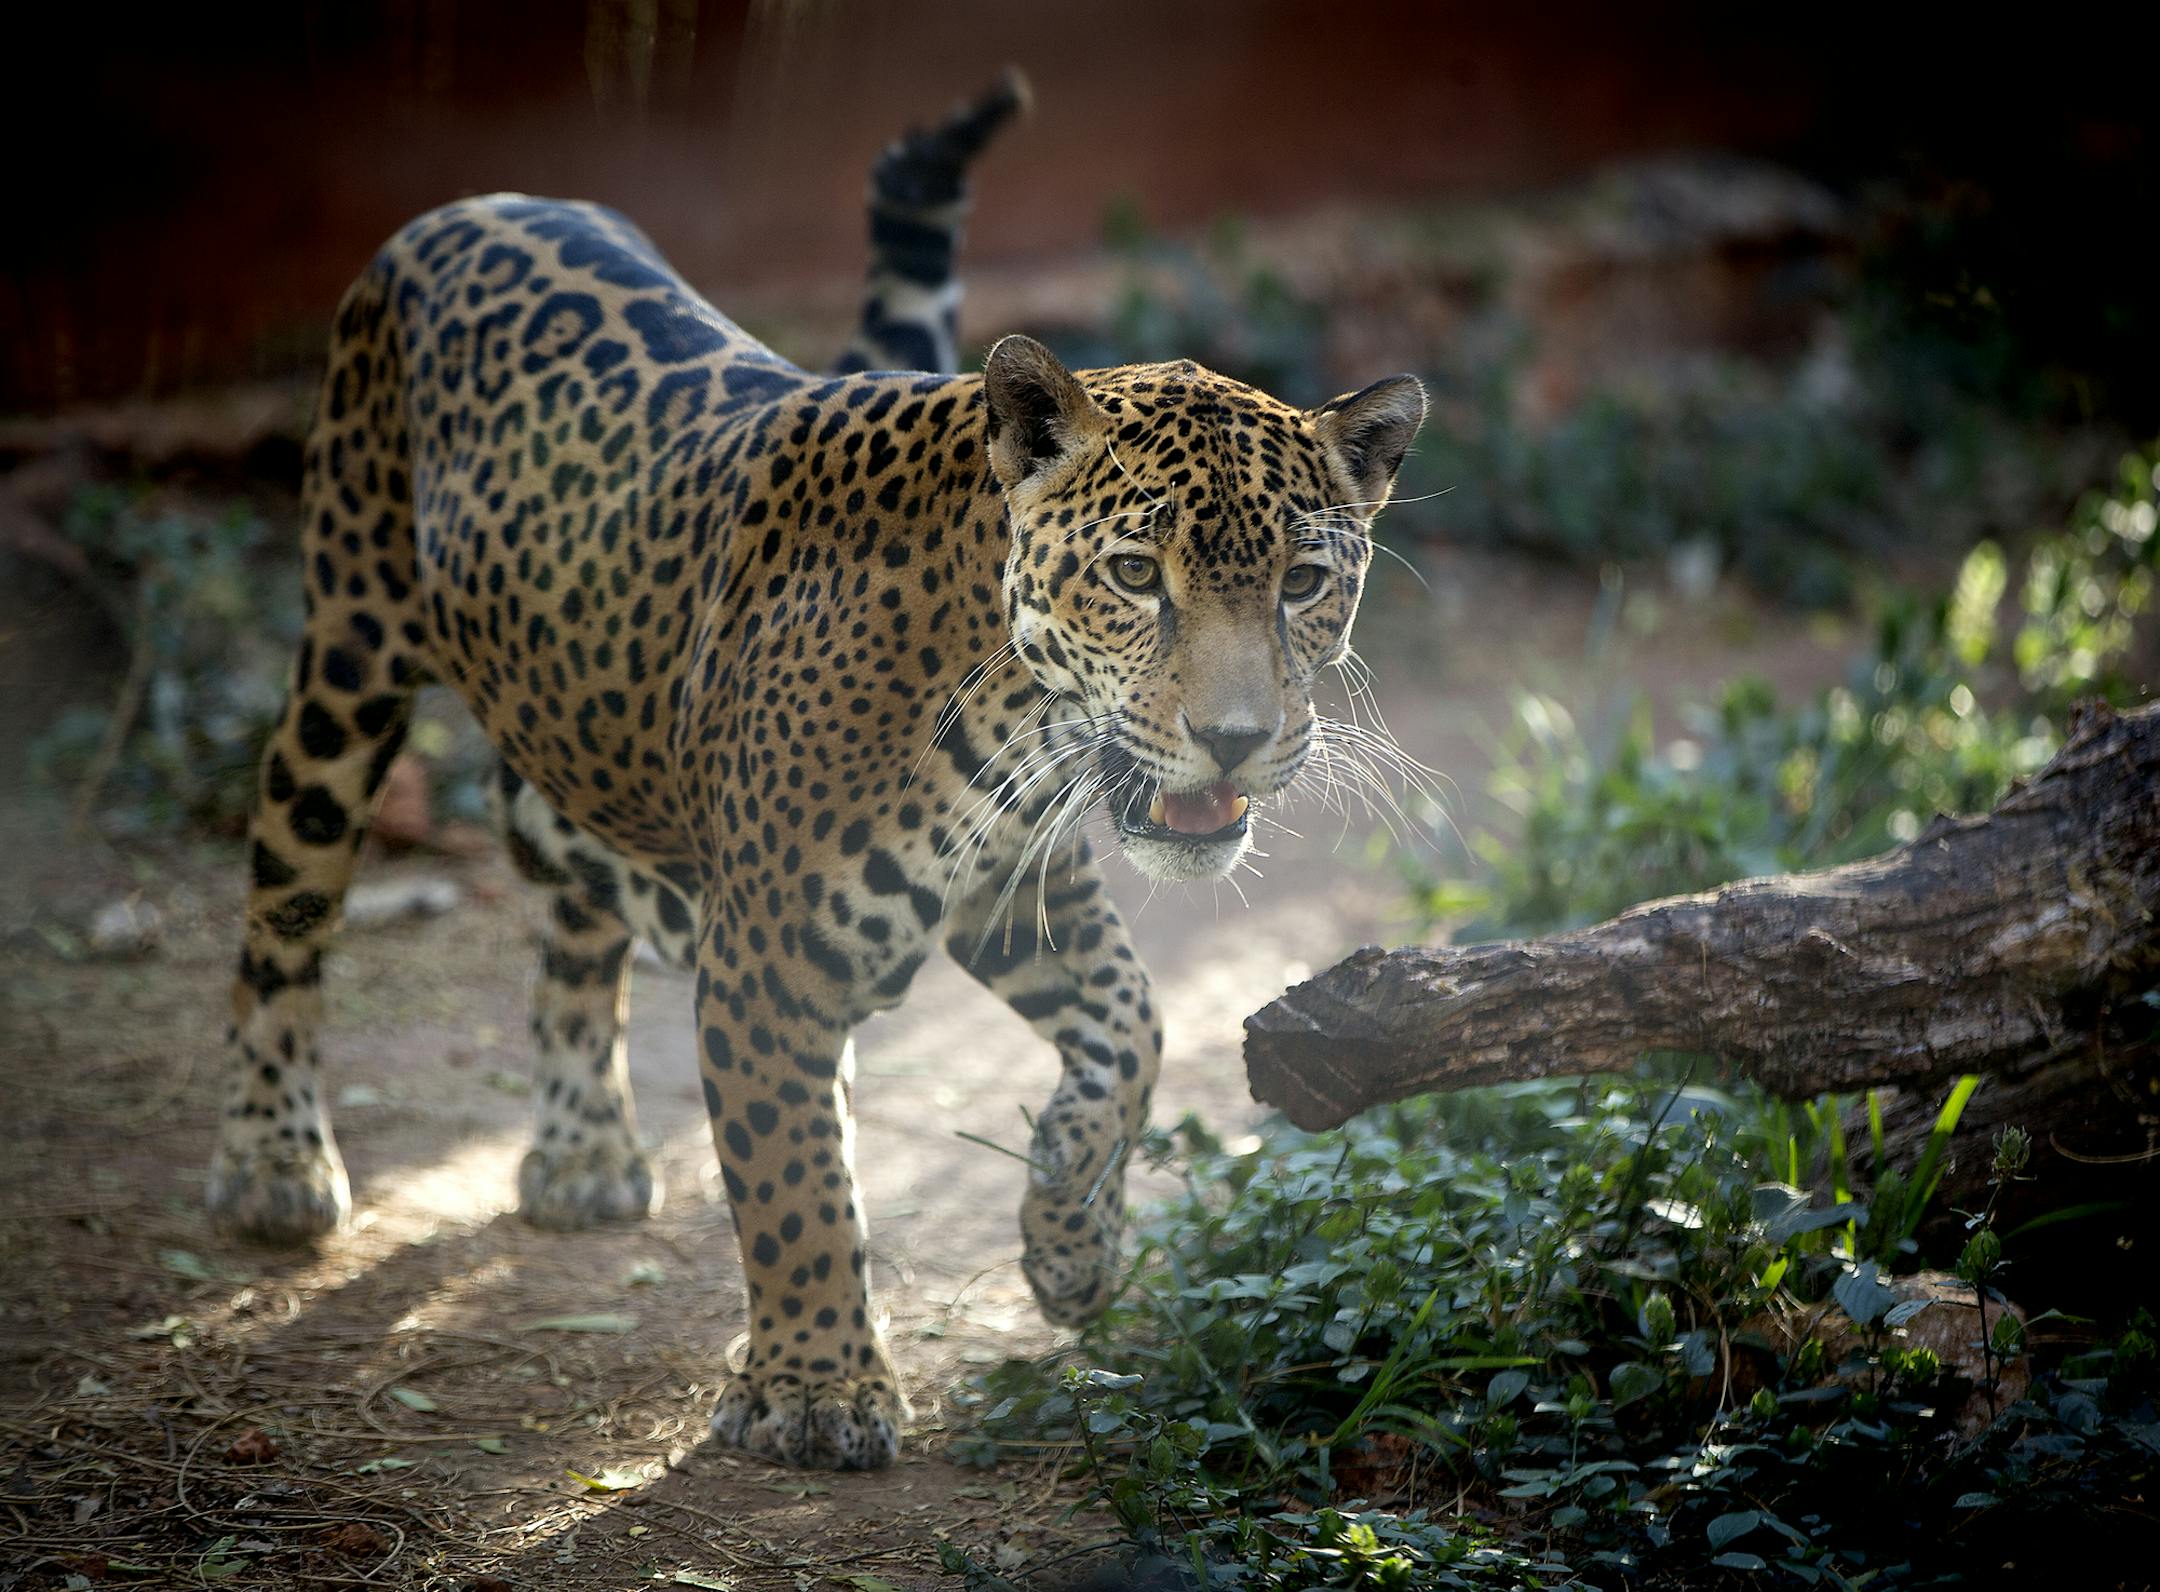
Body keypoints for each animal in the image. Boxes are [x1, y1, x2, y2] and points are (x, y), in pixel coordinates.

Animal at [208, 71, 1426, 1470]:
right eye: (1133, 574)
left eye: (1304, 581)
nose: (1236, 736)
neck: (1012, 710)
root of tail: (473, 200)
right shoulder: (772, 957)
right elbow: (794, 1184)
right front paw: (818, 1388)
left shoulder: (1016, 888)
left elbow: (1136, 1028)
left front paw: (1069, 1236)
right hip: (345, 659)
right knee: (287, 910)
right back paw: (274, 1165)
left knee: (573, 899)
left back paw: (581, 1146)